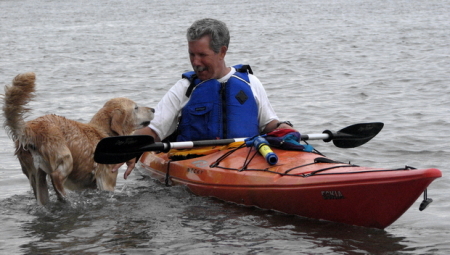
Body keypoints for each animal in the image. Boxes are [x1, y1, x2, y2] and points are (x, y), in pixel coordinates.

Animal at [2, 72, 156, 205]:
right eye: (136, 108)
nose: (153, 109)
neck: (104, 132)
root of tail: (31, 129)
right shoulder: (107, 182)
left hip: (36, 177)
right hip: (65, 157)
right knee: (56, 177)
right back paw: (64, 196)